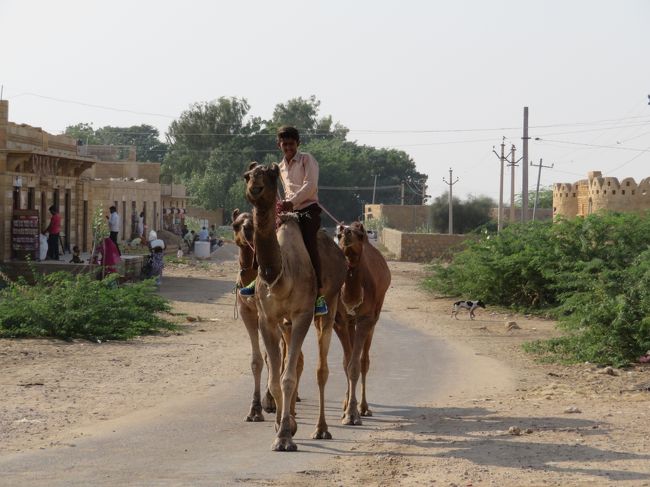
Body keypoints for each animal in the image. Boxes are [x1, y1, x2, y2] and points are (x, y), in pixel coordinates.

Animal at [242, 162, 344, 452]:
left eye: (271, 174)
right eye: (247, 175)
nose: (255, 188)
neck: (280, 274)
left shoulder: (302, 315)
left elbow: (287, 378)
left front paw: (285, 436)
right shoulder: (267, 318)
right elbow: (276, 378)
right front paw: (281, 427)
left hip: (330, 303)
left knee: (321, 369)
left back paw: (322, 429)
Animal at [334, 221, 390, 428]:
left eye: (360, 234)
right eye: (339, 234)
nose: (347, 233)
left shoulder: (366, 319)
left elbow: (355, 365)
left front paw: (352, 414)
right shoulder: (339, 320)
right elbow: (346, 363)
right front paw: (346, 409)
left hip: (375, 315)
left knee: (364, 361)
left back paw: (364, 407)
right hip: (351, 322)